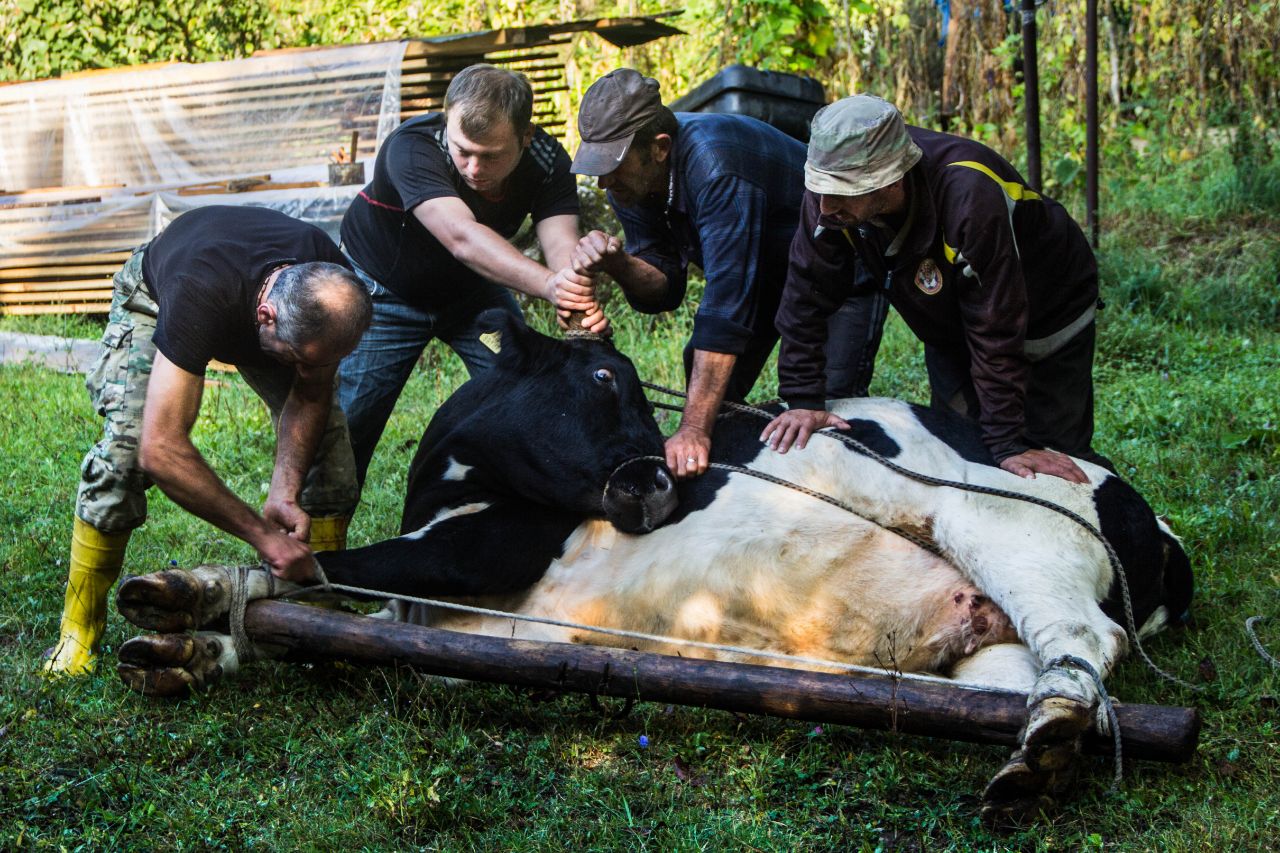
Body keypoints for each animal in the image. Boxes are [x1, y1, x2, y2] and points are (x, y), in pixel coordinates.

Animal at [115, 308, 1192, 814]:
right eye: (599, 374)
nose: (660, 482)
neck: (450, 484)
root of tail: (1153, 521)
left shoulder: (477, 546)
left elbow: (318, 570)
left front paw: (199, 589)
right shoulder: (446, 614)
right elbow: (317, 619)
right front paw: (186, 634)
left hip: (1003, 529)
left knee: (1082, 638)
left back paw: (1051, 737)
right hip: (981, 641)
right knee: (1016, 674)